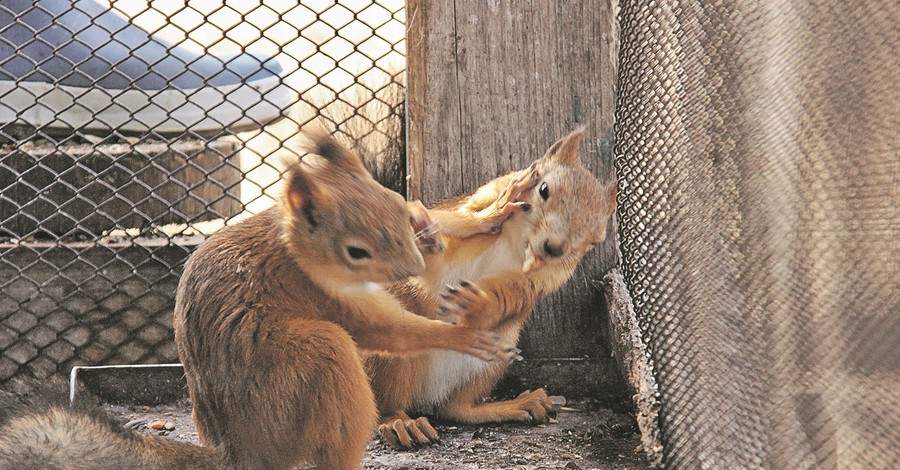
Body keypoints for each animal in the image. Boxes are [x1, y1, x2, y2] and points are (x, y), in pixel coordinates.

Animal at [172, 129, 516, 470]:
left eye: (401, 208)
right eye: (356, 252)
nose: (416, 265)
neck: (293, 246)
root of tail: (239, 452)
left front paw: (486, 215)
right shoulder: (318, 291)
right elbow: (388, 330)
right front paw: (466, 338)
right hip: (309, 368)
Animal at [362, 127, 616, 448]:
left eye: (596, 237)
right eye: (543, 189)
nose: (554, 248)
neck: (517, 242)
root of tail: (424, 398)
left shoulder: (535, 282)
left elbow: (508, 299)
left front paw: (476, 303)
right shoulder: (465, 207)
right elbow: (451, 228)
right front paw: (494, 210)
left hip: (492, 358)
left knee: (456, 409)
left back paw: (513, 405)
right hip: (389, 357)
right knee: (384, 406)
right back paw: (401, 423)